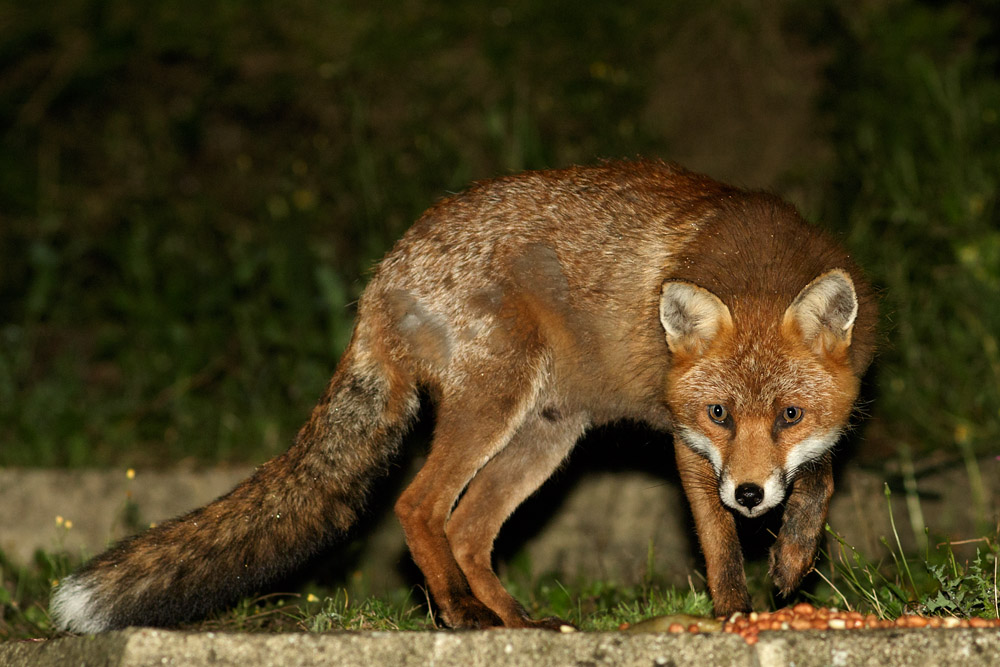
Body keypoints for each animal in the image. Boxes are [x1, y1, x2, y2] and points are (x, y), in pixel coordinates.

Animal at [50, 159, 876, 633]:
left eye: (790, 414)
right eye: (719, 413)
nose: (749, 493)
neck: (758, 259)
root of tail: (387, 269)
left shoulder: (808, 434)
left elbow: (821, 479)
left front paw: (793, 561)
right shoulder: (686, 440)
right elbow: (716, 541)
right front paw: (735, 610)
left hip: (546, 433)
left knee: (471, 525)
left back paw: (514, 619)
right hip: (494, 405)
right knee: (421, 506)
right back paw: (457, 611)